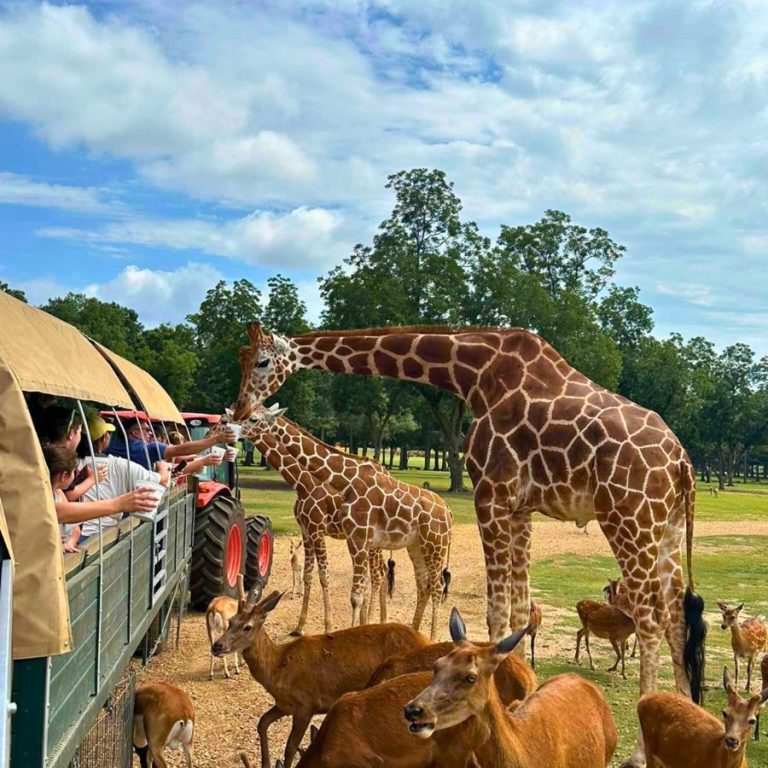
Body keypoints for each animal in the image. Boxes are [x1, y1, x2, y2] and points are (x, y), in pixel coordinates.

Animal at [212, 576, 426, 768]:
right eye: (231, 621)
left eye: (247, 627)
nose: (217, 645)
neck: (278, 668)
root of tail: (423, 640)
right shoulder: (284, 705)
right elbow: (262, 722)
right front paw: (265, 763)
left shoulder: (307, 703)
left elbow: (290, 747)